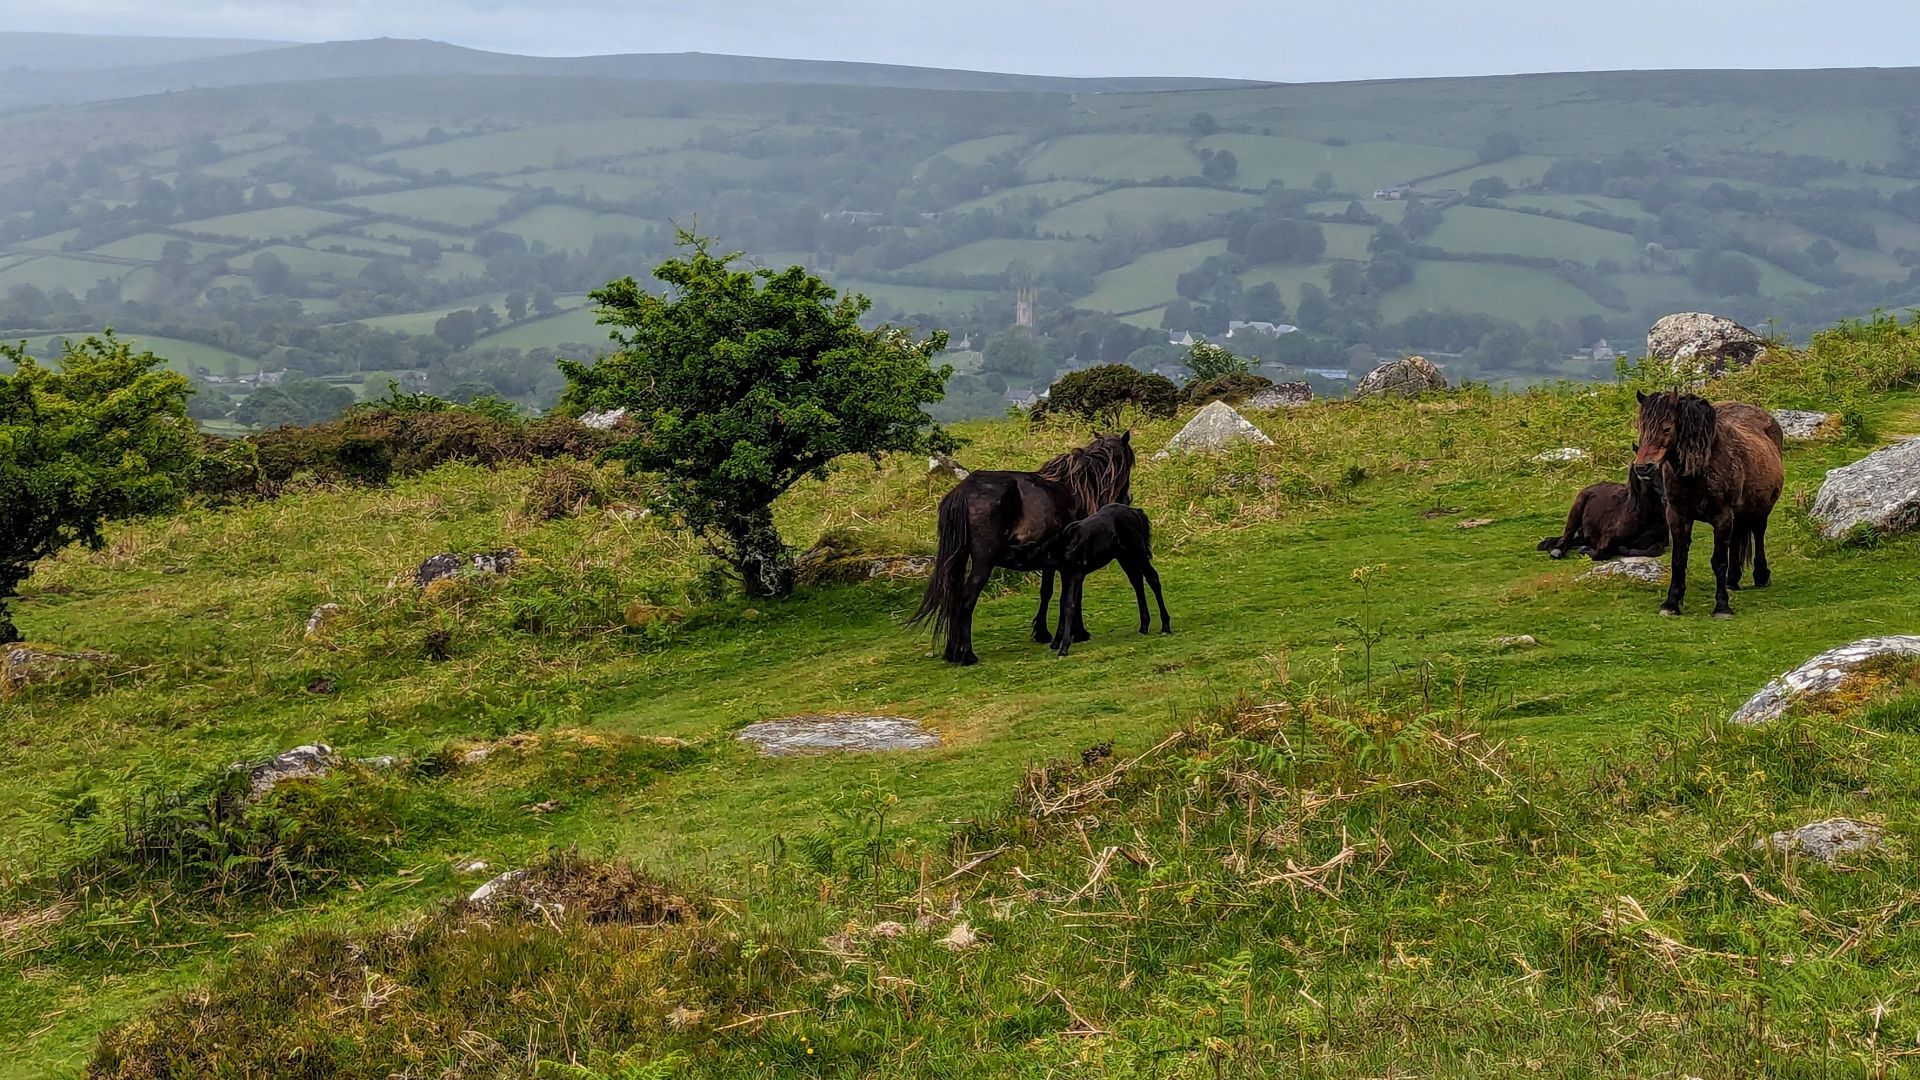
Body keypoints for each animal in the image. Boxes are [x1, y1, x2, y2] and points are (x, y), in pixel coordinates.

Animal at [909, 432, 1135, 664]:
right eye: (1129, 463)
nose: (1127, 498)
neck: (1075, 489)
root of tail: (963, 491)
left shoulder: (1051, 561)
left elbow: (1047, 592)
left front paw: (1043, 633)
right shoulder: (1073, 562)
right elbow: (1073, 595)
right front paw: (1078, 633)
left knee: (953, 597)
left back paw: (952, 652)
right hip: (983, 563)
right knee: (966, 599)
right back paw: (968, 654)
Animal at [1015, 503, 1170, 657]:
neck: (1065, 544)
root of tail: (1136, 512)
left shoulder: (1077, 573)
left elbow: (1069, 605)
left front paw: (1064, 647)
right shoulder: (1066, 574)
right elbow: (1063, 604)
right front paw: (1056, 643)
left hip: (1138, 552)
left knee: (1152, 578)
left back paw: (1165, 626)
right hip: (1124, 556)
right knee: (1137, 581)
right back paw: (1144, 626)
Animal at [1537, 465, 1668, 561]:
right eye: (1648, 475)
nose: (1667, 498)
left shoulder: (1662, 540)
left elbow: (1654, 549)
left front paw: (1625, 549)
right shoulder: (1606, 537)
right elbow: (1601, 553)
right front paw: (1584, 550)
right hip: (1576, 510)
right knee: (1566, 537)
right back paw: (1557, 551)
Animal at [1632, 391, 1785, 618]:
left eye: (1667, 428)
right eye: (1641, 428)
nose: (1643, 467)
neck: (1699, 471)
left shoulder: (1722, 517)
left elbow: (1718, 561)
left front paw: (1722, 607)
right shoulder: (1677, 516)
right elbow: (1678, 560)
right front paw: (1671, 603)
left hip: (1760, 508)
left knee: (1758, 533)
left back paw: (1761, 576)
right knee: (1737, 537)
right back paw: (1733, 579)